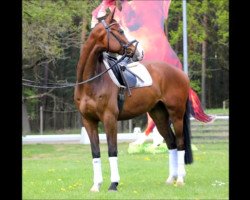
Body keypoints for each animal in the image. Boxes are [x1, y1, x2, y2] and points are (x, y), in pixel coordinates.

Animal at [73, 8, 192, 192]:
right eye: (120, 31)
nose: (139, 52)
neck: (92, 81)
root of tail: (181, 74)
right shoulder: (88, 121)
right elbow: (95, 153)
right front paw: (96, 185)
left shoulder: (109, 119)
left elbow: (112, 150)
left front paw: (113, 184)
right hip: (159, 115)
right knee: (171, 142)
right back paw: (171, 178)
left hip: (177, 114)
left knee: (180, 143)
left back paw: (179, 179)